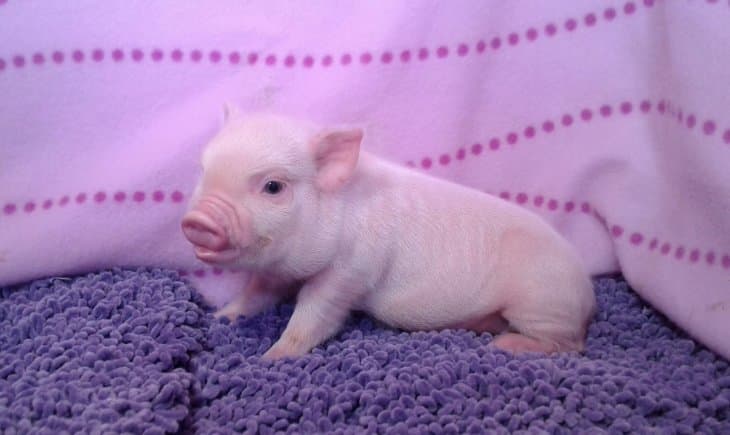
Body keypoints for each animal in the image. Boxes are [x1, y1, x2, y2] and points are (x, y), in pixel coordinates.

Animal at [181, 106, 596, 360]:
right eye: (202, 170)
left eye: (273, 187)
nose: (197, 220)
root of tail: (588, 291)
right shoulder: (278, 270)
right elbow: (255, 294)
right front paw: (221, 316)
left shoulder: (351, 272)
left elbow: (315, 314)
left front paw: (272, 356)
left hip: (541, 299)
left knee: (570, 344)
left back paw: (506, 345)